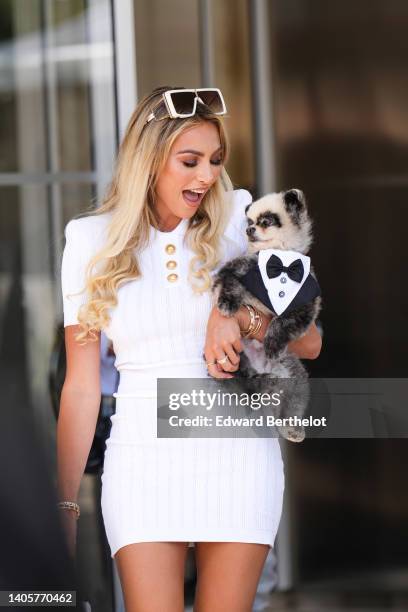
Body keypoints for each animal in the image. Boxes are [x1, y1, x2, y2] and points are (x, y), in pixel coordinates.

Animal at [212, 189, 320, 442]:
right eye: (249, 222)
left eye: (265, 222)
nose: (249, 230)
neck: (278, 260)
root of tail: (262, 368)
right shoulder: (239, 269)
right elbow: (230, 282)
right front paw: (227, 303)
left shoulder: (306, 301)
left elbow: (285, 321)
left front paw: (272, 342)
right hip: (231, 356)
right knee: (243, 382)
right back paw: (260, 383)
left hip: (294, 374)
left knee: (293, 400)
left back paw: (291, 427)